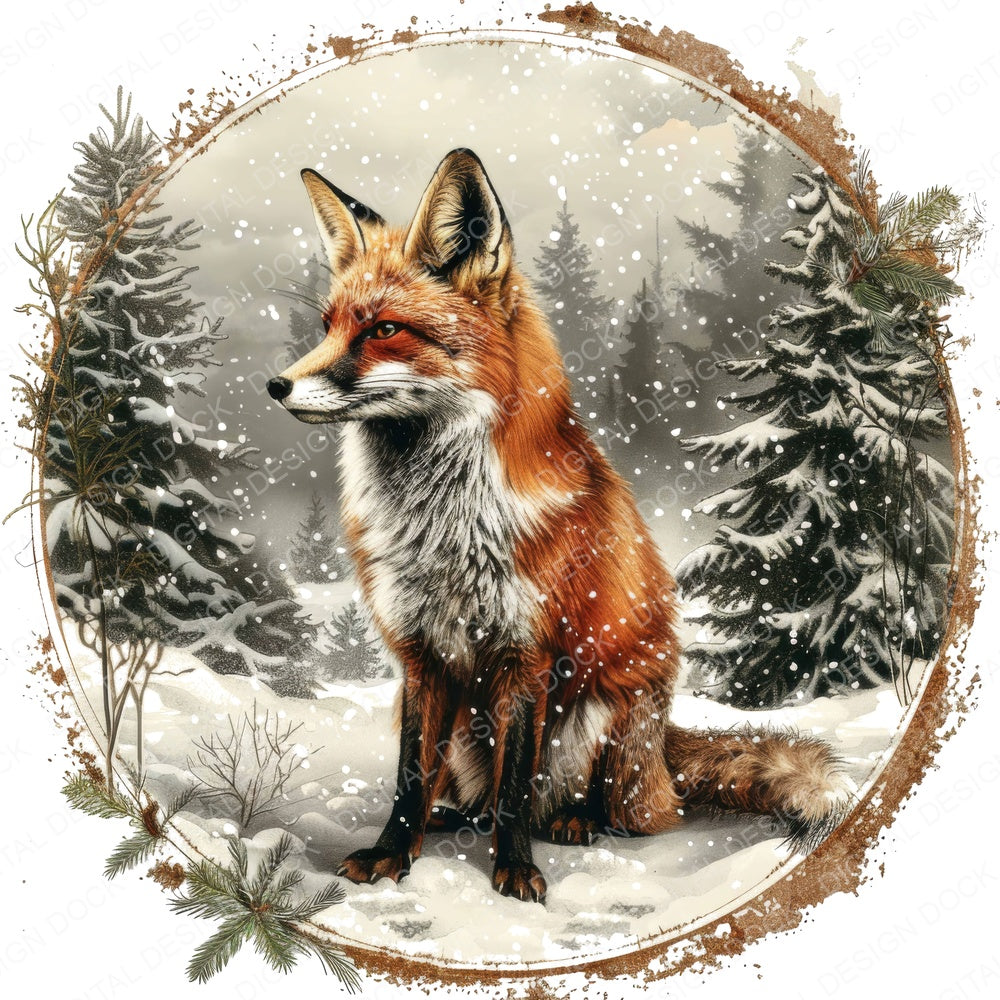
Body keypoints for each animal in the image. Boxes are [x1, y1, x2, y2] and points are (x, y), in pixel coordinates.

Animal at [267, 149, 854, 903]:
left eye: (384, 330)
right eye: (328, 327)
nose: (276, 385)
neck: (443, 525)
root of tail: (663, 752)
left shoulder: (529, 655)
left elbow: (518, 787)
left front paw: (516, 870)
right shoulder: (420, 658)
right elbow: (408, 778)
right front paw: (393, 853)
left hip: (598, 718)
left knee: (605, 809)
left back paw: (576, 822)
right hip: (462, 726)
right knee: (473, 794)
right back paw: (455, 817)